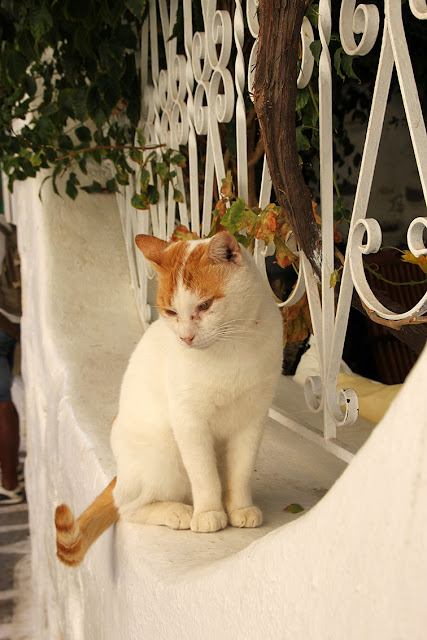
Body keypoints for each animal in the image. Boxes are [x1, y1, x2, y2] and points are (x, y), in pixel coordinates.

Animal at [56, 230, 284, 564]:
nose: (186, 338)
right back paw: (178, 512)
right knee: (128, 506)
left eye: (205, 305)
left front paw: (240, 508)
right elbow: (203, 475)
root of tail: (120, 474)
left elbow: (241, 471)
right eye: (171, 312)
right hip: (166, 453)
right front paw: (209, 513)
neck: (232, 347)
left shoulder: (253, 417)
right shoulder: (188, 421)